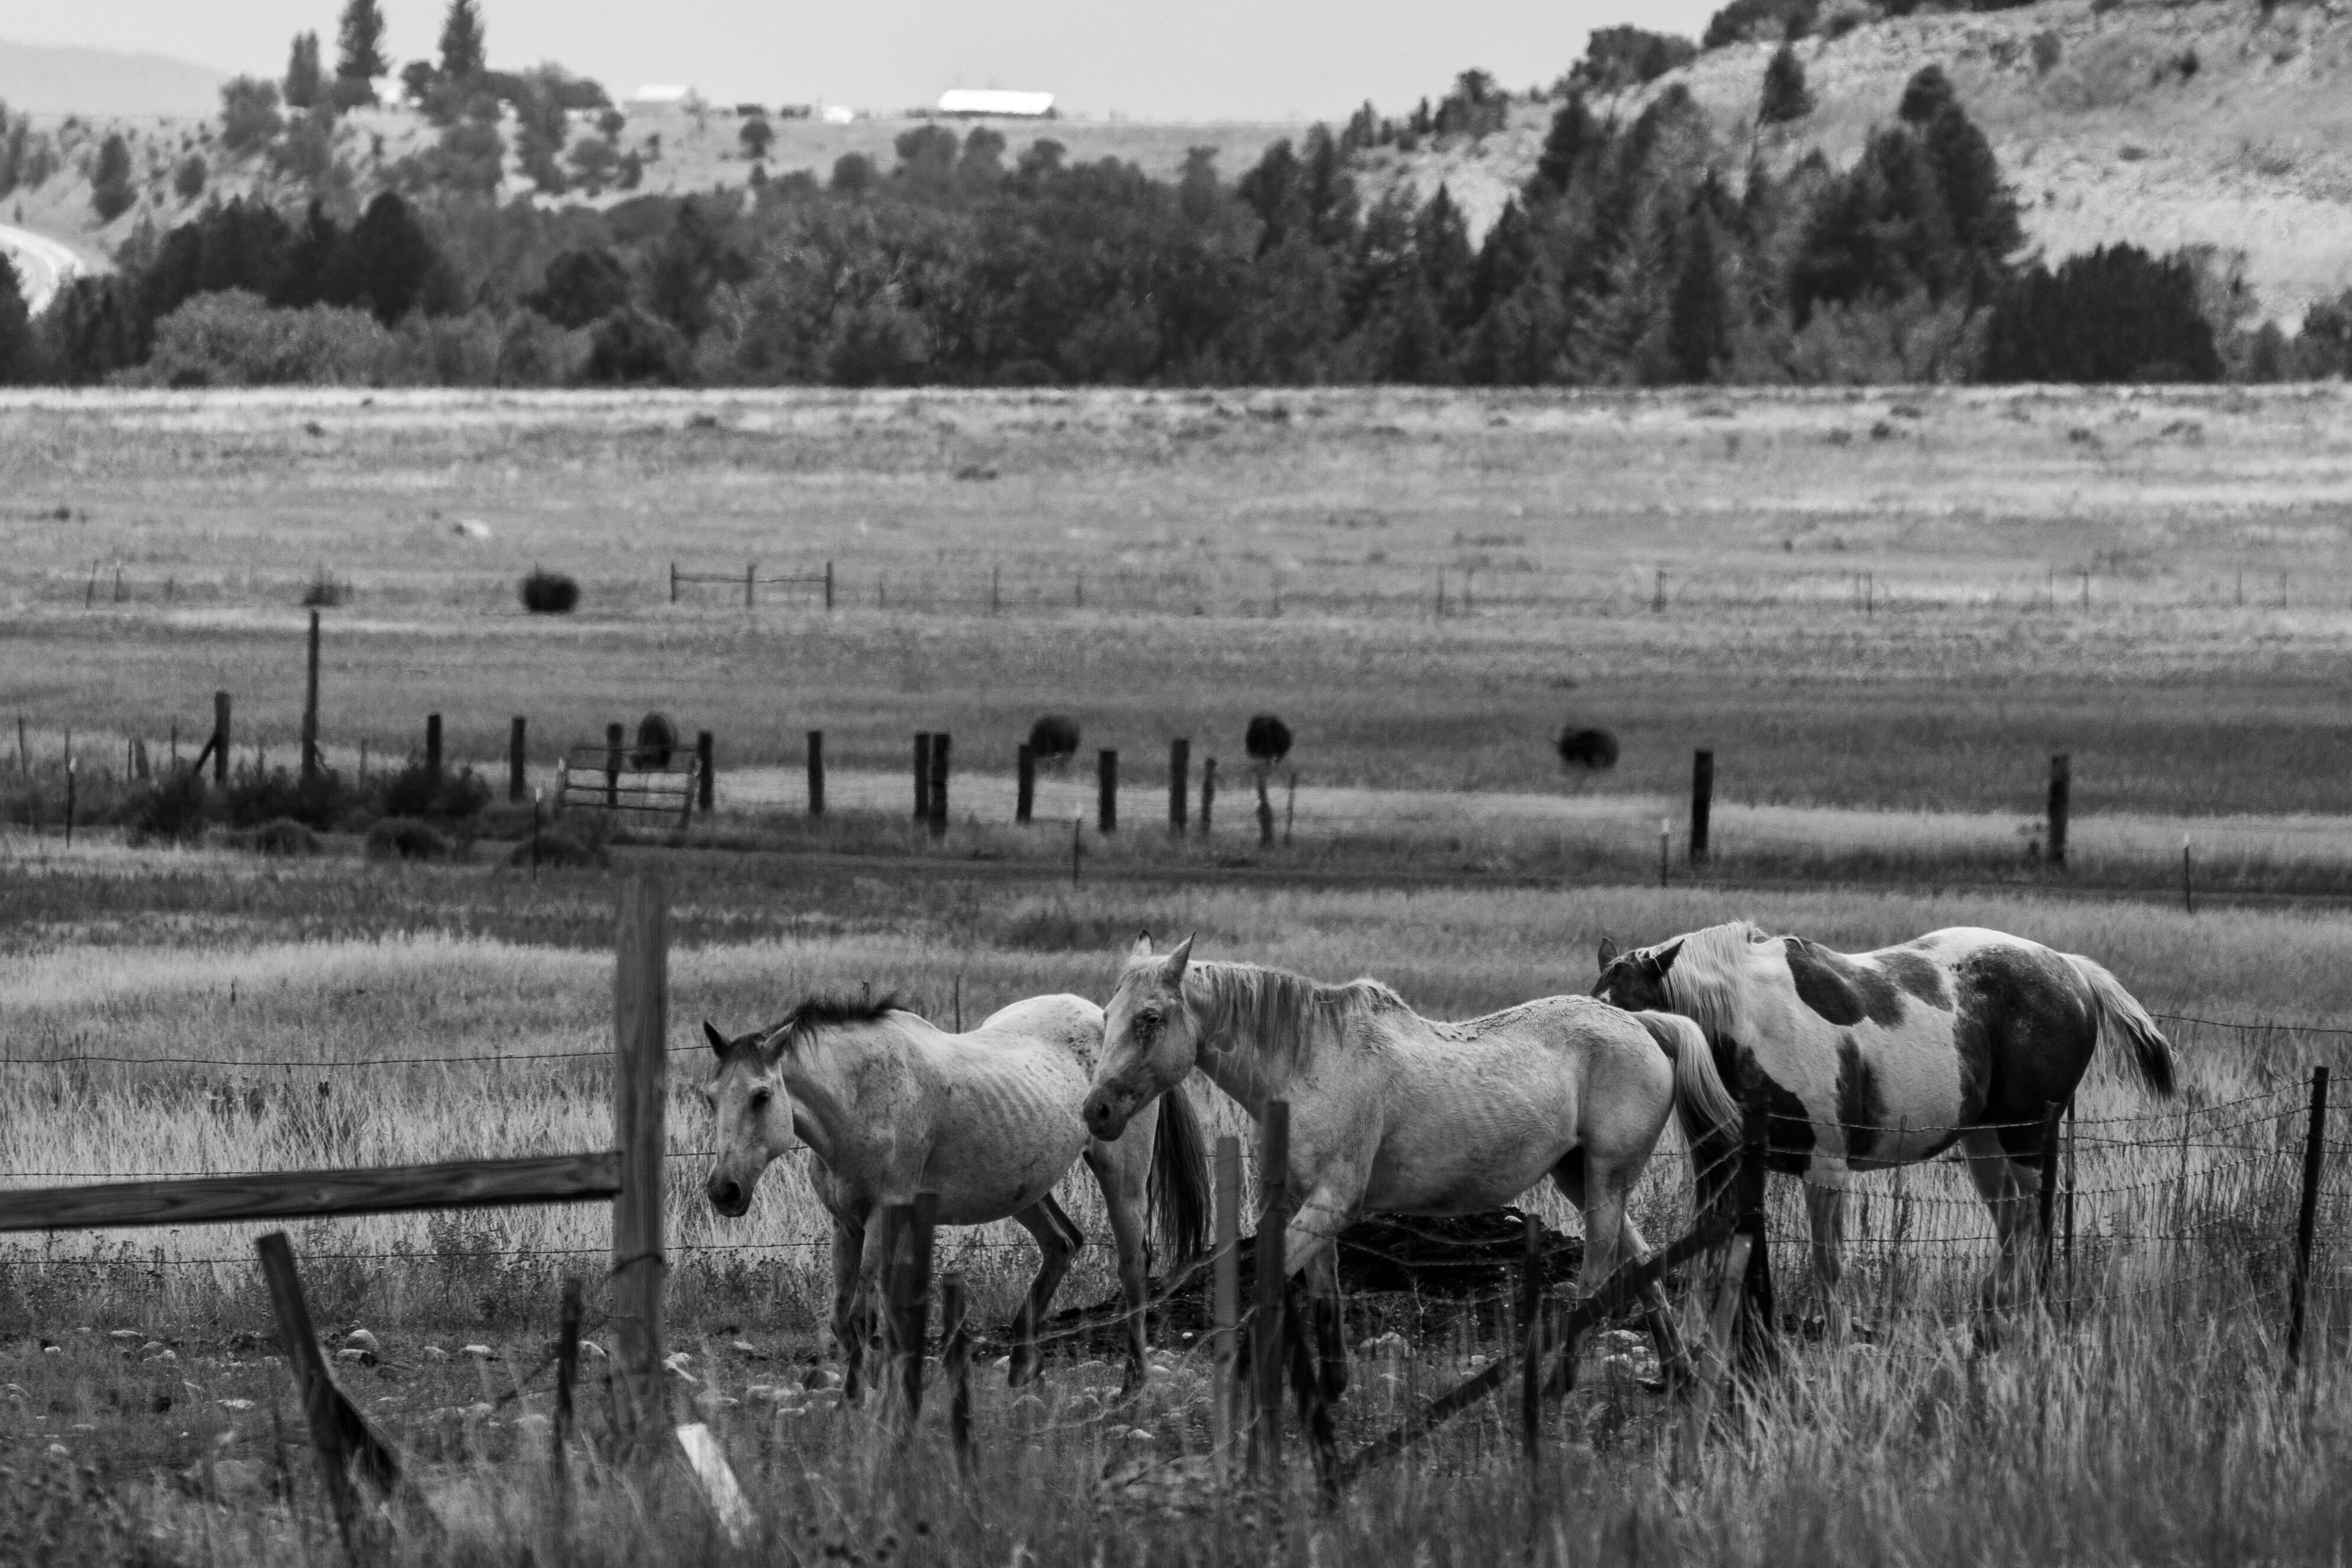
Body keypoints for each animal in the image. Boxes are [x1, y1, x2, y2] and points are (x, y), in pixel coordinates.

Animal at [696, 992, 1213, 1401]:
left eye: (762, 1096)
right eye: (710, 1097)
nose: (724, 1191)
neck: (860, 1099)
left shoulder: (884, 1217)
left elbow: (863, 1316)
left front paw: (858, 1403)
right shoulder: (846, 1224)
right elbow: (846, 1319)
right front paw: (869, 1394)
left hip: (1121, 1180)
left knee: (1132, 1268)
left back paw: (1133, 1384)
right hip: (1023, 1188)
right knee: (1063, 1243)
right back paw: (1025, 1370)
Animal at [1077, 940, 1721, 1419]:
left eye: (1150, 1018)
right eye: (1107, 1017)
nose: (1096, 1111)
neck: (1308, 1062)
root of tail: (1643, 1025)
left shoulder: (1331, 1204)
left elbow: (1266, 1285)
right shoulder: (1308, 1206)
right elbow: (1325, 1295)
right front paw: (1330, 1389)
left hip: (1605, 1178)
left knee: (1599, 1270)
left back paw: (1559, 1384)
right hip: (1583, 1179)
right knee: (1639, 1261)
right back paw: (1676, 1376)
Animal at [1590, 921, 2173, 1326]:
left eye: (1637, 1006)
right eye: (1597, 1000)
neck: (1750, 1023)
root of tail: (2071, 971)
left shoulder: (1826, 1169)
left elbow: (1829, 1263)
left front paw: (1838, 1338)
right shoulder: (1724, 1167)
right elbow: (1713, 1257)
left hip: (2028, 1135)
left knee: (2034, 1221)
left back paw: (2025, 1314)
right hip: (1985, 1142)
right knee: (2013, 1221)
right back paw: (1992, 1312)